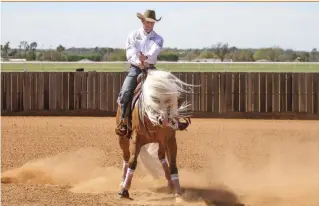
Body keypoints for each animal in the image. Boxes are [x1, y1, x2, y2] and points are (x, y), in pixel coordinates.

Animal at [115, 68, 194, 200]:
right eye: (154, 98)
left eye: (170, 99)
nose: (165, 120)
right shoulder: (136, 139)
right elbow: (132, 162)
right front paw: (124, 191)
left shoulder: (170, 140)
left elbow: (172, 164)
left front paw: (178, 191)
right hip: (122, 138)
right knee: (126, 157)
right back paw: (122, 180)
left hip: (161, 143)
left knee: (162, 157)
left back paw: (170, 183)